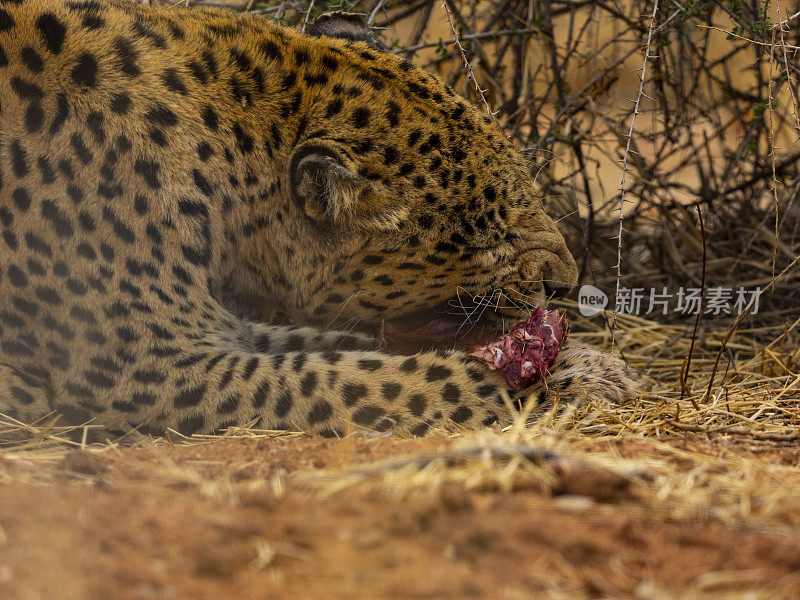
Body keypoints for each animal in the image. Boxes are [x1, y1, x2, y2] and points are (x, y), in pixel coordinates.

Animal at [0, 0, 636, 438]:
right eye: (494, 233)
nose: (565, 284)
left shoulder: (217, 327)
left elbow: (342, 346)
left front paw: (588, 368)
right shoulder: (148, 366)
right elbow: (354, 377)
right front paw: (522, 388)